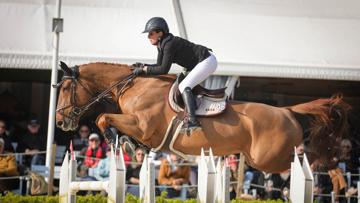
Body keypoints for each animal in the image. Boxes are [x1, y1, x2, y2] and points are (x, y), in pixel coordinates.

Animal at [54, 61, 350, 173]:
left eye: (66, 88)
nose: (59, 122)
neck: (133, 86)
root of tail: (288, 110)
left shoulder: (143, 125)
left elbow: (103, 118)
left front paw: (124, 142)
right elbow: (107, 119)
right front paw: (130, 145)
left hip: (269, 158)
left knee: (307, 161)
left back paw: (334, 168)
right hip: (260, 157)